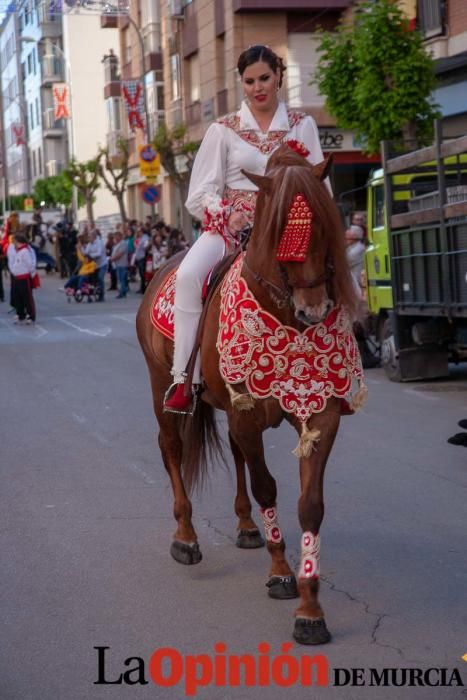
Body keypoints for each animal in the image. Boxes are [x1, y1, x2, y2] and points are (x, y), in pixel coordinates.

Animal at [136, 146, 362, 644]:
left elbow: (309, 505)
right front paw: (280, 572)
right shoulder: (247, 414)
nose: (313, 309)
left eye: (326, 225)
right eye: (279, 234)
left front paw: (310, 609)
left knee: (235, 452)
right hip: (162, 384)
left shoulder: (318, 416)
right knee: (172, 447)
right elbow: (266, 486)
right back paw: (185, 536)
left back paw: (244, 526)